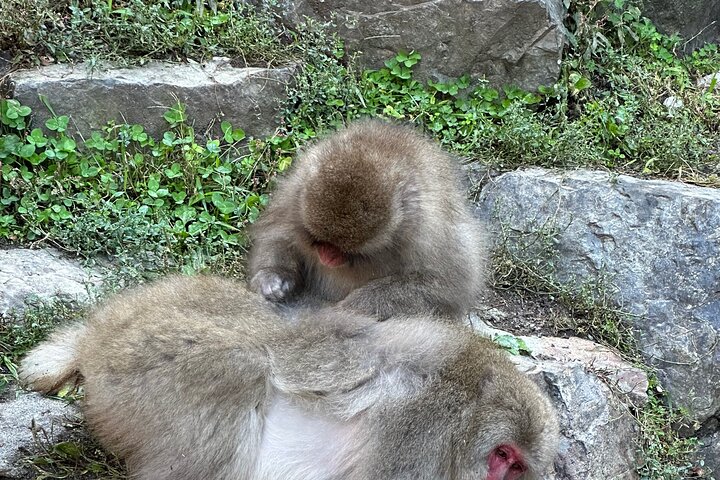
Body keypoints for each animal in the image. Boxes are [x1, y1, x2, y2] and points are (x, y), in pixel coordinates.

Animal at [19, 275, 558, 480]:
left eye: (518, 467)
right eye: (503, 457)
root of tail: (96, 340)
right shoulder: (422, 438)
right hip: (135, 374)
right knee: (236, 370)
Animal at [248, 118, 487, 320]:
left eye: (347, 251)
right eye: (318, 240)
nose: (327, 256)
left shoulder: (430, 232)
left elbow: (443, 287)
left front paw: (351, 309)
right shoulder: (295, 192)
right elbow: (278, 233)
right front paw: (274, 277)